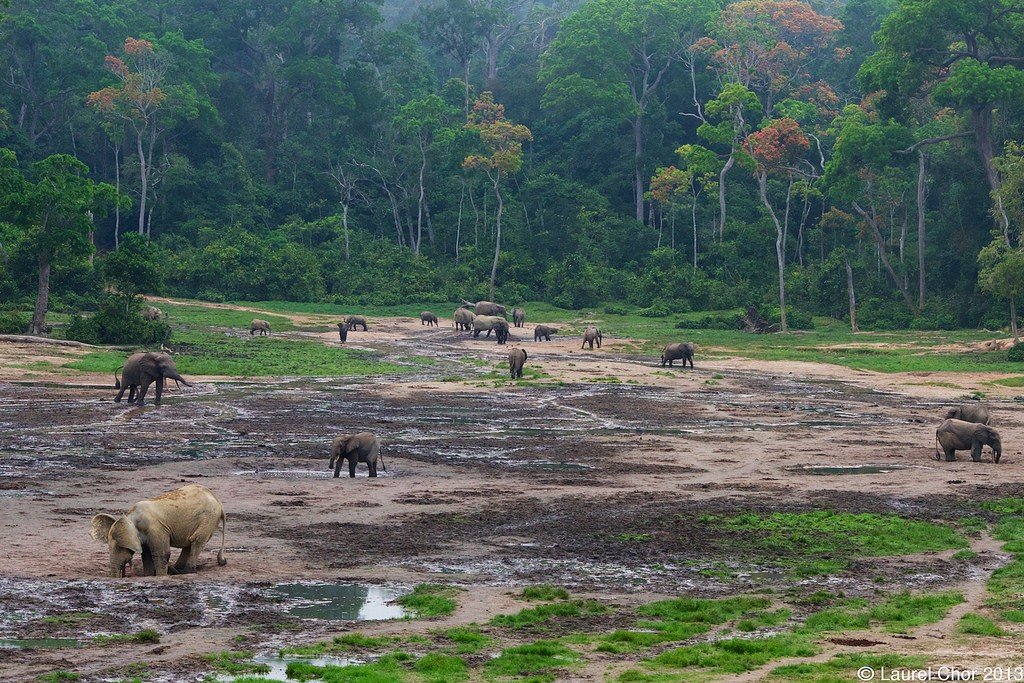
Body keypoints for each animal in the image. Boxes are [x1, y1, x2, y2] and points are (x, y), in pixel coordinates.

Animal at [90, 483, 228, 581]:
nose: (122, 576)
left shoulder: (156, 528)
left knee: (196, 541)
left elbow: (162, 554)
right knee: (189, 543)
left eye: (119, 547)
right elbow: (146, 555)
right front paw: (149, 575)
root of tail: (219, 503)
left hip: (208, 518)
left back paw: (186, 571)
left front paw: (161, 576)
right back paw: (175, 570)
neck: (131, 517)